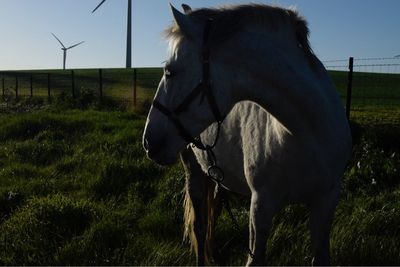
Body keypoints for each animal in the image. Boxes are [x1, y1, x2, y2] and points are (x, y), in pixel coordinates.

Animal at [142, 3, 352, 266]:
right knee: (200, 227)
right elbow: (254, 257)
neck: (305, 134)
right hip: (193, 171)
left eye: (169, 71)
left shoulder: (326, 202)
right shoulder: (260, 206)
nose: (148, 141)